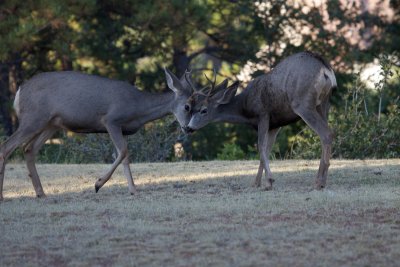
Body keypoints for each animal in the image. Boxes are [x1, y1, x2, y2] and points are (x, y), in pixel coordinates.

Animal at [0, 69, 194, 201]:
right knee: (6, 147)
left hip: (50, 124)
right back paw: (4, 196)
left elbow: (125, 157)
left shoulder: (123, 129)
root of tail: (19, 92)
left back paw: (41, 193)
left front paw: (133, 190)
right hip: (33, 118)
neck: (137, 107)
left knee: (28, 149)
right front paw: (98, 184)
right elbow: (122, 152)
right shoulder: (111, 120)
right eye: (187, 106)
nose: (188, 128)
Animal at [186, 51, 336, 191]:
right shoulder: (276, 124)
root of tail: (325, 69)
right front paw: (257, 182)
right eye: (191, 109)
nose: (188, 127)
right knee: (327, 132)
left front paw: (268, 181)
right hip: (323, 103)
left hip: (303, 103)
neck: (245, 108)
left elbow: (261, 146)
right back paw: (321, 180)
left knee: (326, 133)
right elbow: (268, 149)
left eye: (203, 110)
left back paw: (319, 182)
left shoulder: (263, 114)